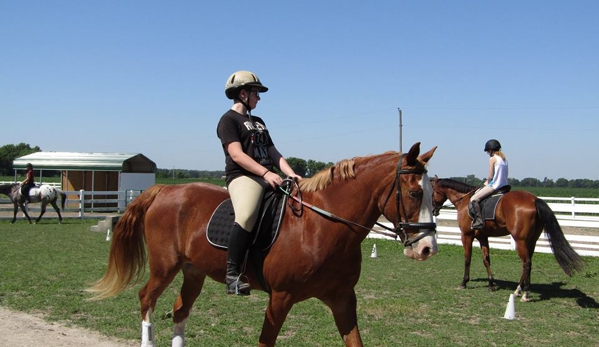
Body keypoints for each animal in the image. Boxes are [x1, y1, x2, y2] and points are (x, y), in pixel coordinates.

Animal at [88, 142, 436, 347]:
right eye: (415, 193)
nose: (427, 249)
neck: (322, 226)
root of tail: (164, 190)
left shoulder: (342, 299)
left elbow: (355, 341)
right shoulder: (280, 298)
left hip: (193, 271)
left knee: (179, 310)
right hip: (164, 266)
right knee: (146, 299)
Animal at [434, 177, 584, 302]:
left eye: (432, 191)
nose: (434, 210)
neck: (464, 202)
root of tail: (534, 200)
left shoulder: (466, 236)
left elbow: (467, 259)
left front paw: (464, 282)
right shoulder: (483, 237)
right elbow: (486, 260)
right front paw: (491, 284)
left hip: (520, 241)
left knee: (526, 263)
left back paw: (524, 294)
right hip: (531, 241)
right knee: (528, 263)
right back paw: (520, 290)